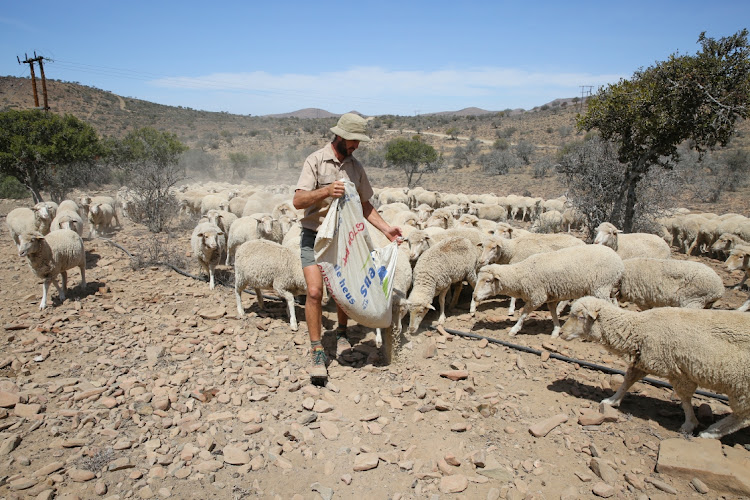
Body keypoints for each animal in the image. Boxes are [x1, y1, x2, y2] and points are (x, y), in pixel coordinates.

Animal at [472, 245, 624, 338]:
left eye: (487, 281)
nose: (474, 296)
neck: (521, 274)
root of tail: (618, 260)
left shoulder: (537, 296)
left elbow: (523, 314)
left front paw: (514, 329)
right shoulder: (551, 297)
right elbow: (553, 313)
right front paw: (556, 330)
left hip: (601, 287)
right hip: (606, 288)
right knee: (614, 305)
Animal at [560, 294, 750, 440]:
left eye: (581, 317)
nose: (561, 332)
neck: (638, 328)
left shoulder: (679, 373)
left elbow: (685, 399)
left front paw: (689, 423)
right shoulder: (642, 360)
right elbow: (628, 380)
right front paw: (612, 400)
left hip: (742, 387)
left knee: (743, 417)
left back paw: (711, 432)